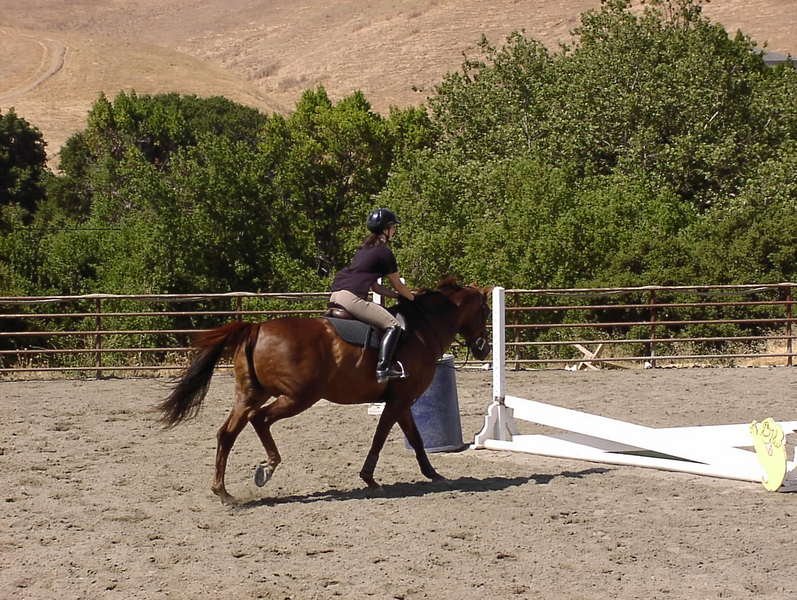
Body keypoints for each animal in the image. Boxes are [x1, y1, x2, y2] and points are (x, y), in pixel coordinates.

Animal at [157, 278, 491, 504]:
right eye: (486, 311)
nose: (483, 348)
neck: (422, 330)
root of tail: (257, 328)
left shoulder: (402, 402)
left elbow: (417, 439)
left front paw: (433, 474)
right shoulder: (399, 400)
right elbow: (382, 437)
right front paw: (370, 479)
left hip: (251, 394)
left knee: (227, 433)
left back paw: (223, 492)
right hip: (299, 397)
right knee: (260, 420)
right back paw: (267, 468)